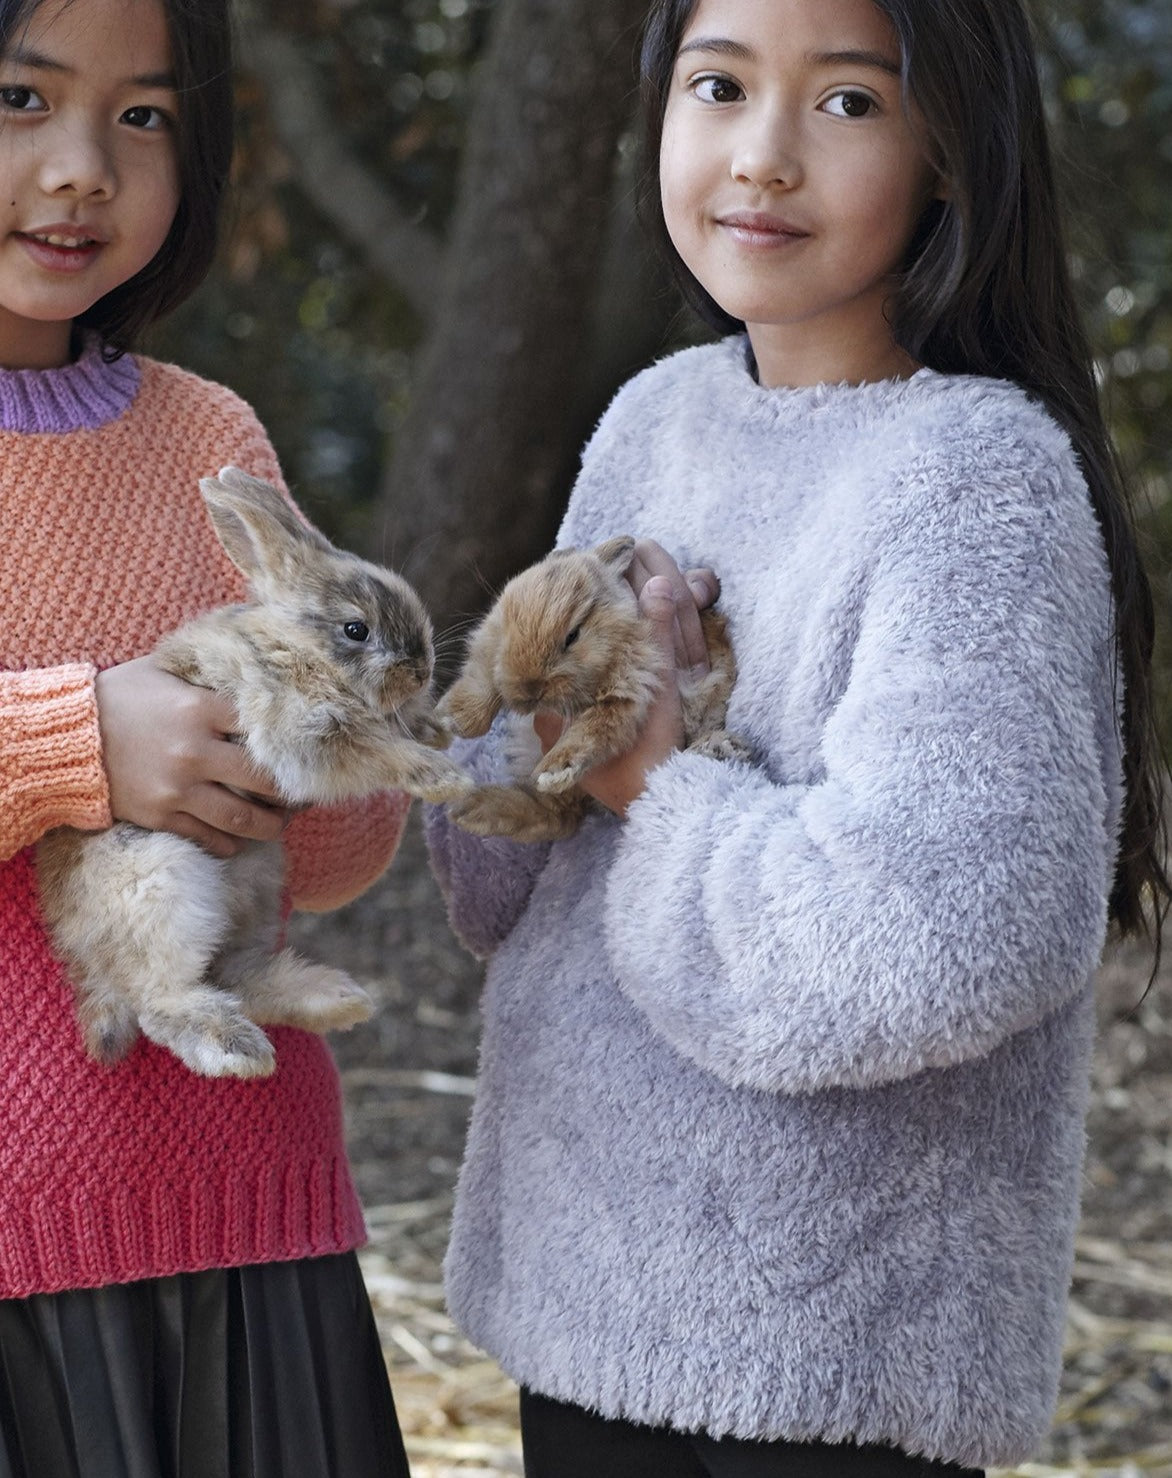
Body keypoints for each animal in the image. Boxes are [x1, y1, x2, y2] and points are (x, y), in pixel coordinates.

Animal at [37, 467, 467, 1081]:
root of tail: (89, 963)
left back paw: (336, 998)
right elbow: (376, 752)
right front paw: (443, 773)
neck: (297, 648)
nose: (422, 670)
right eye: (355, 630)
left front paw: (437, 725)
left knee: (234, 975)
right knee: (161, 1000)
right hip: (165, 888)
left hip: (256, 892)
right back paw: (240, 1048)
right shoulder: (305, 735)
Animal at [434, 540, 744, 845]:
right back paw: (468, 809)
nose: (529, 689)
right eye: (512, 625)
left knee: (560, 814)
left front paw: (554, 771)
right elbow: (483, 677)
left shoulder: (629, 688)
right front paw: (453, 720)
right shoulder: (491, 638)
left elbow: (593, 731)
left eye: (572, 636)